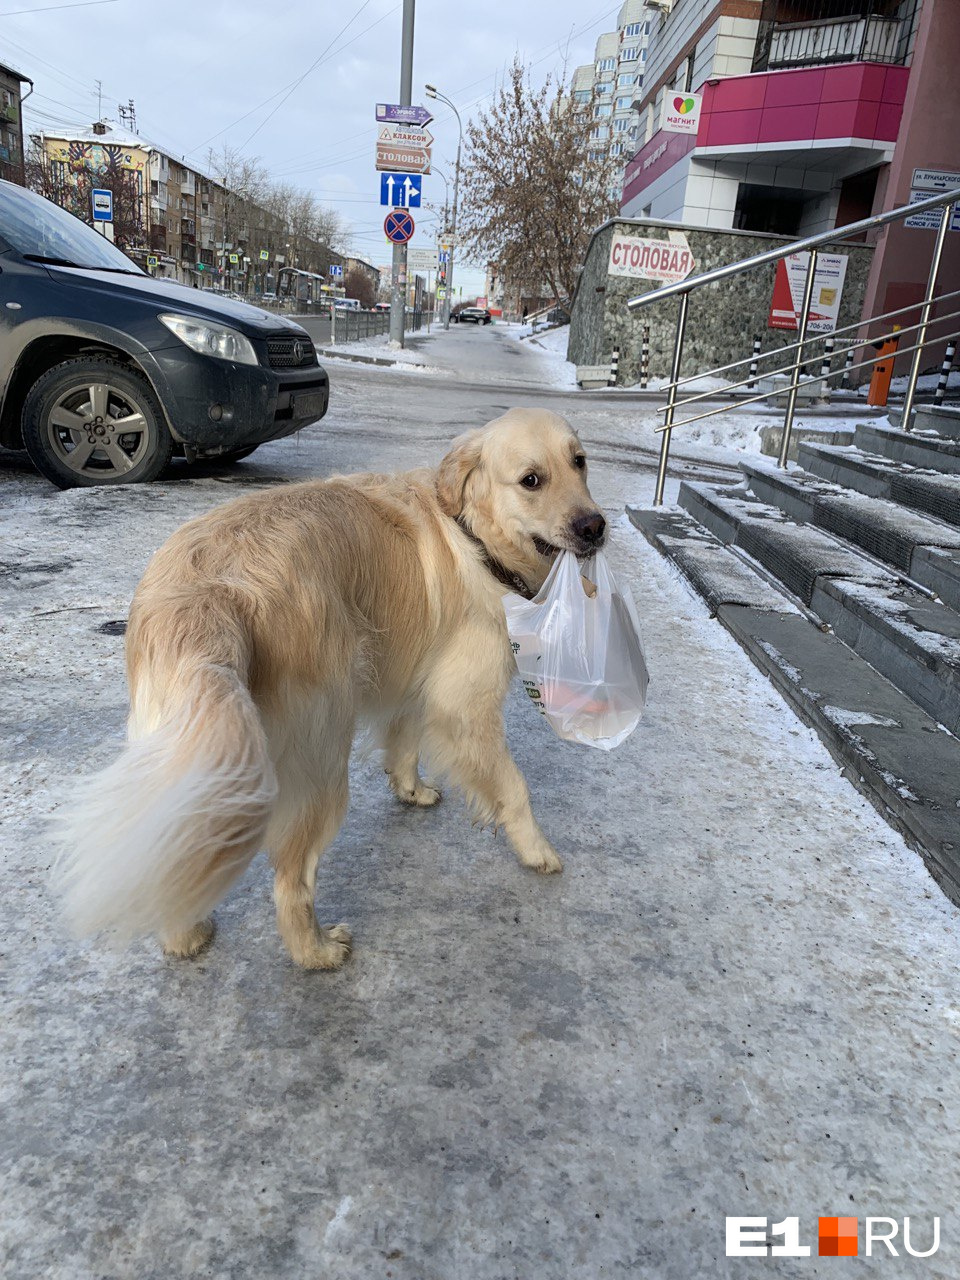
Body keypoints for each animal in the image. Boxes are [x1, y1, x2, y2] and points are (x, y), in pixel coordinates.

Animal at [52, 409, 604, 967]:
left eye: (579, 462)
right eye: (531, 480)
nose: (595, 527)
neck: (470, 534)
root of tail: (208, 597)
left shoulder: (414, 681)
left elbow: (404, 743)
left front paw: (411, 790)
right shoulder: (465, 709)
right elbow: (513, 788)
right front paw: (538, 851)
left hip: (187, 757)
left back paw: (185, 936)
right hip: (321, 761)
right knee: (291, 879)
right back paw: (315, 951)